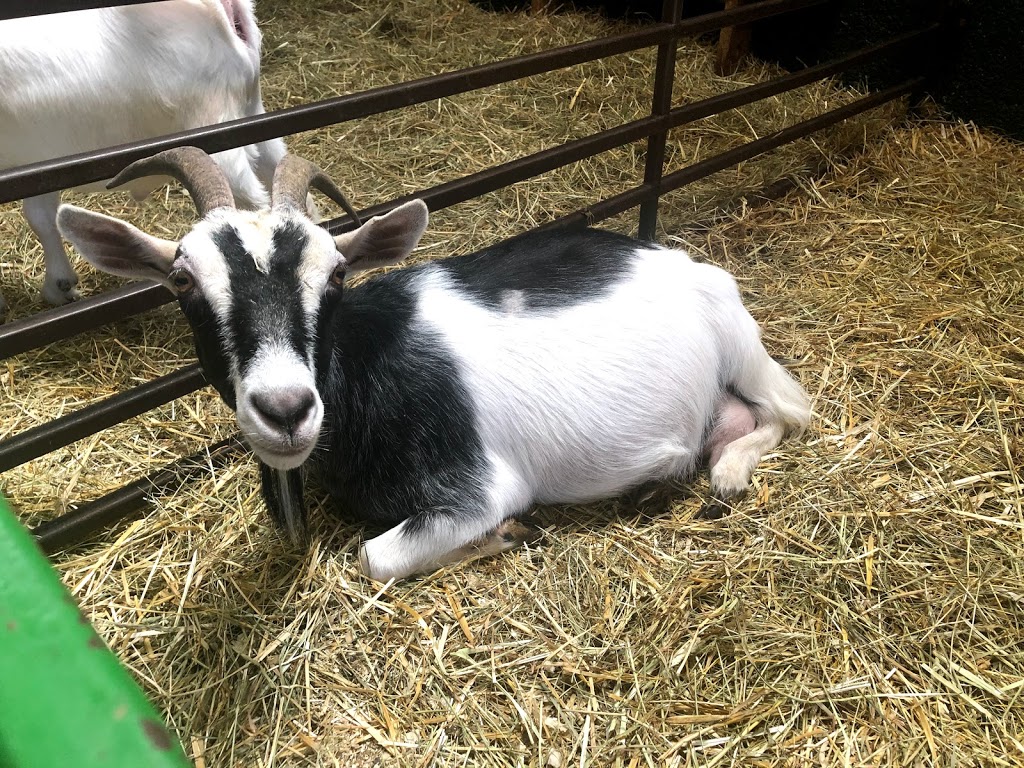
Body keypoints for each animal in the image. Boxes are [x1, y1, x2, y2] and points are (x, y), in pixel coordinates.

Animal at [56, 146, 811, 582]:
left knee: (793, 409)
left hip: (742, 344)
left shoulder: (476, 487)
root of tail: (677, 259)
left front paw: (511, 532)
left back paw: (727, 473)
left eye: (335, 276)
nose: (286, 409)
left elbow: (373, 556)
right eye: (182, 281)